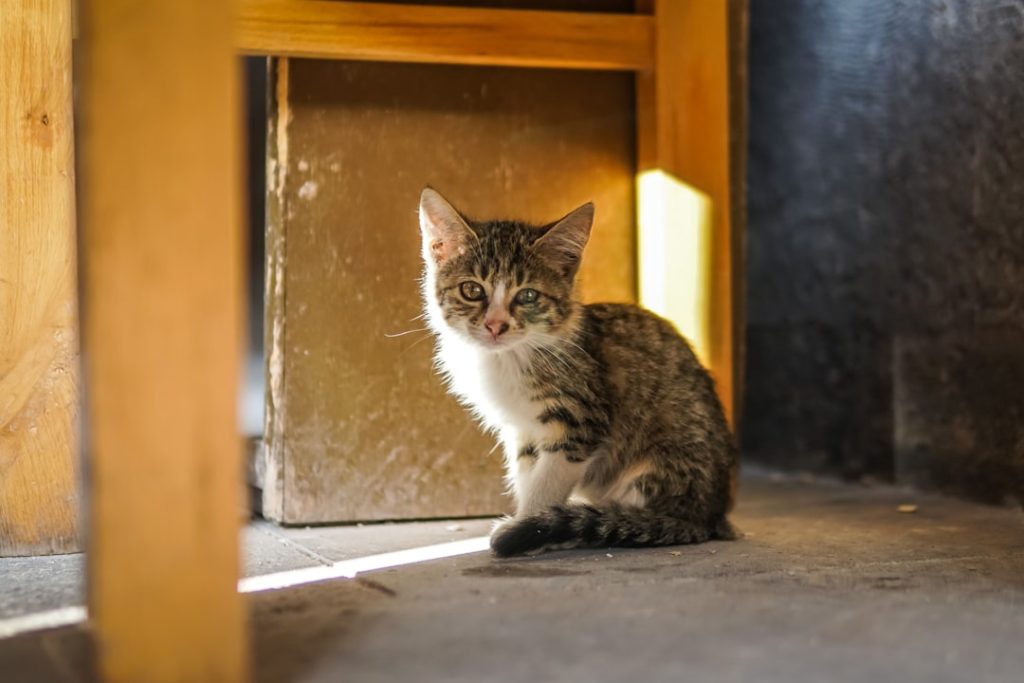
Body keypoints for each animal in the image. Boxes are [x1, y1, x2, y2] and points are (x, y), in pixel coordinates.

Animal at [419, 185, 741, 557]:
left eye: (528, 295)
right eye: (471, 290)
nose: (495, 325)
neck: (507, 358)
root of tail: (709, 516)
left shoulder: (581, 417)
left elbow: (547, 482)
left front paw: (530, 525)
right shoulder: (522, 429)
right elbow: (527, 473)